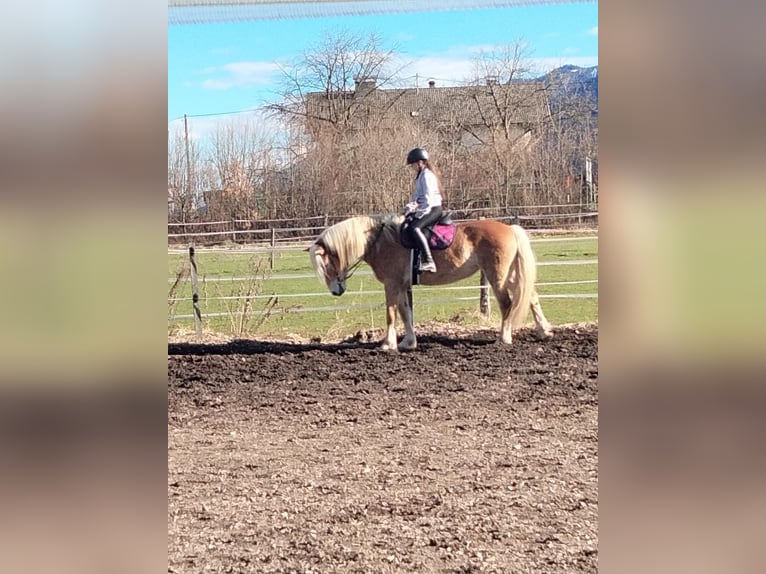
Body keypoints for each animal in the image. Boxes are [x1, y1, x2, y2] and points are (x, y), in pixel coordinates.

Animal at [308, 215, 556, 352]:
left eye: (326, 265)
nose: (336, 291)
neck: (380, 242)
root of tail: (510, 229)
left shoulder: (391, 284)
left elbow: (391, 313)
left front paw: (388, 344)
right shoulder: (402, 285)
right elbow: (406, 312)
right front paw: (408, 342)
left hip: (497, 276)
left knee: (507, 304)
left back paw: (503, 338)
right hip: (511, 275)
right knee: (531, 297)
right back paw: (544, 331)